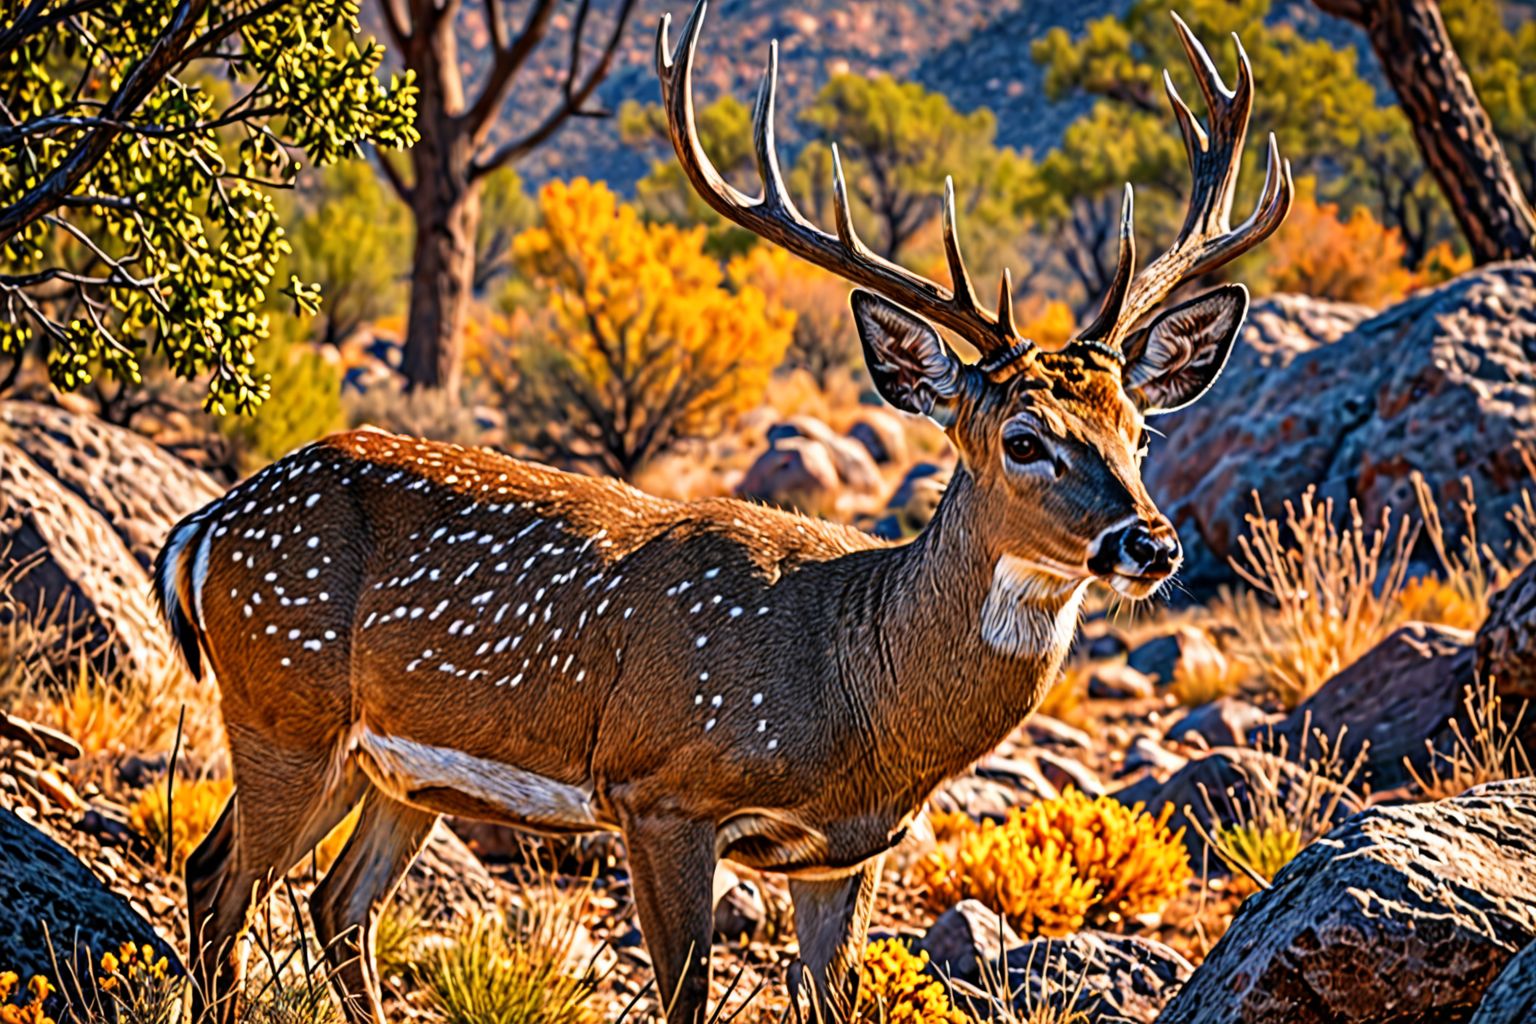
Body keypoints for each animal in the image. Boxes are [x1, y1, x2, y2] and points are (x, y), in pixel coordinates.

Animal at [152, 3, 1290, 1021]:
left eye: (1140, 431)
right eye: (1024, 439)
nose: (1150, 541)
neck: (855, 688)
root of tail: (202, 529)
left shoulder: (844, 854)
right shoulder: (661, 792)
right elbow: (686, 998)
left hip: (394, 771)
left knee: (335, 905)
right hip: (283, 707)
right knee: (219, 883)